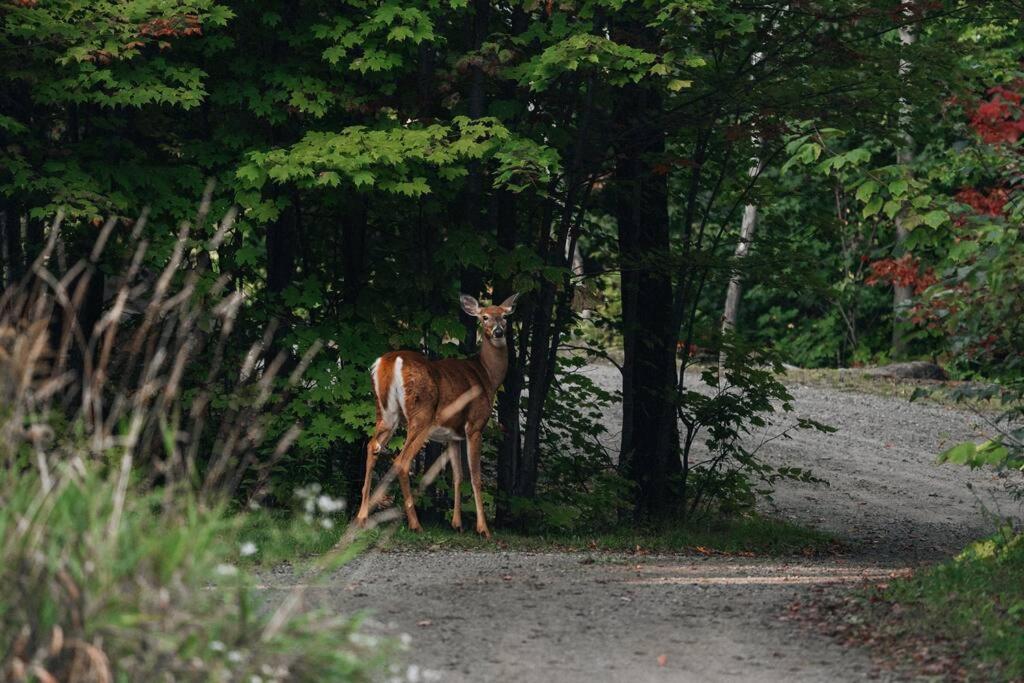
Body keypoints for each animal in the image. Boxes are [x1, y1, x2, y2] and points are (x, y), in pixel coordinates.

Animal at [355, 293, 520, 538]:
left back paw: (362, 517)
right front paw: (483, 528)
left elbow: (457, 476)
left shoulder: (452, 435)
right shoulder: (475, 425)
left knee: (372, 447)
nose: (498, 332)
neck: (488, 376)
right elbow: (475, 476)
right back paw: (415, 523)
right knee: (401, 460)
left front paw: (457, 524)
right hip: (421, 415)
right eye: (484, 317)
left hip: (386, 413)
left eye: (505, 316)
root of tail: (391, 361)